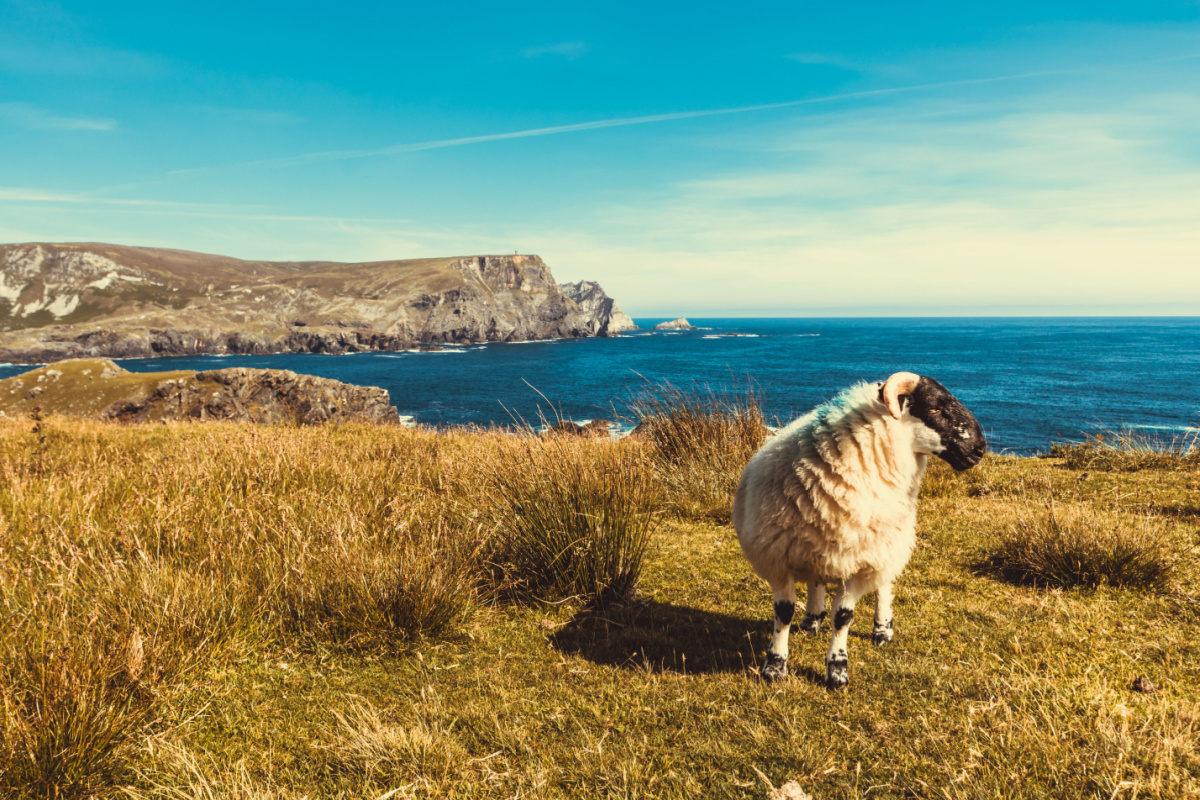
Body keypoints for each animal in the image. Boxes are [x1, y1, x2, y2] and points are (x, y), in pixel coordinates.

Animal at [729, 371, 984, 690]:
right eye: (935, 408)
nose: (980, 449)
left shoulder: (862, 564)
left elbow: (843, 616)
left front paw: (837, 670)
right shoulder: (777, 559)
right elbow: (784, 613)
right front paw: (775, 666)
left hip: (886, 548)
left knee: (884, 585)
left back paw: (882, 630)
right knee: (817, 579)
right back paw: (812, 619)